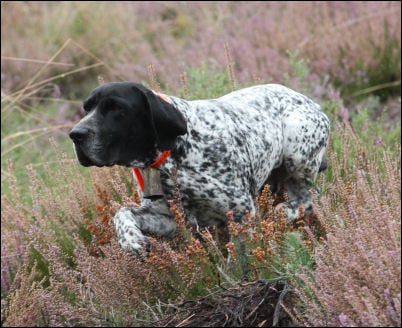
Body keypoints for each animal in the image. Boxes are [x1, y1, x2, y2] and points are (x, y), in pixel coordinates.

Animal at [70, 82, 330, 254]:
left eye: (116, 108)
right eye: (86, 108)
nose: (75, 134)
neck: (172, 156)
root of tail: (314, 104)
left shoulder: (240, 212)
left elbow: (239, 257)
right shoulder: (169, 219)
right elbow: (122, 212)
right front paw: (131, 239)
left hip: (297, 153)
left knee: (307, 200)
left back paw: (283, 212)